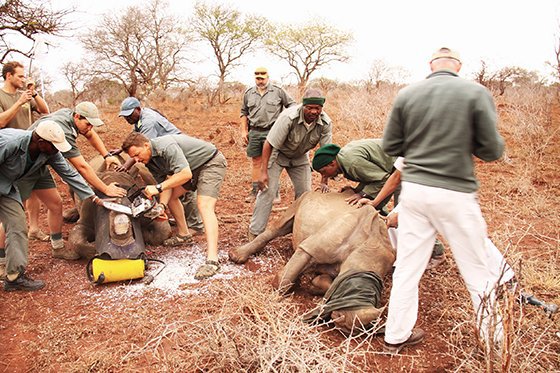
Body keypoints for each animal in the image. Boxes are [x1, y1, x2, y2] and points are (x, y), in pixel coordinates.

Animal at [230, 190, 396, 332]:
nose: (339, 320)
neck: (365, 260)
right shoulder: (311, 247)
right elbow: (285, 279)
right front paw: (280, 291)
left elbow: (328, 285)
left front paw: (313, 284)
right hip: (305, 197)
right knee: (281, 225)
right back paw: (236, 256)